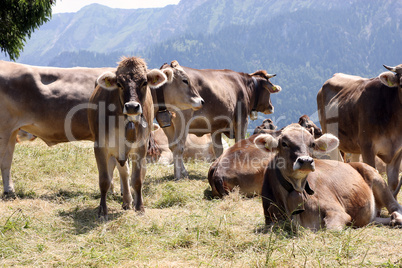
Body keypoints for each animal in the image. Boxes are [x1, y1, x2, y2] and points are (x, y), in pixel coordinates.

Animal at [88, 57, 168, 219]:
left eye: (144, 82)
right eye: (119, 83)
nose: (132, 106)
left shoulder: (141, 147)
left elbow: (137, 179)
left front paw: (139, 207)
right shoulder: (101, 147)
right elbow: (104, 180)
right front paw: (102, 210)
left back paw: (128, 200)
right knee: (123, 172)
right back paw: (126, 199)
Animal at [258, 123, 402, 230]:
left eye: (312, 144)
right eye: (284, 143)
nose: (305, 161)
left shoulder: (338, 211)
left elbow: (331, 229)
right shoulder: (270, 220)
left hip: (376, 177)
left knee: (395, 205)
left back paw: (397, 218)